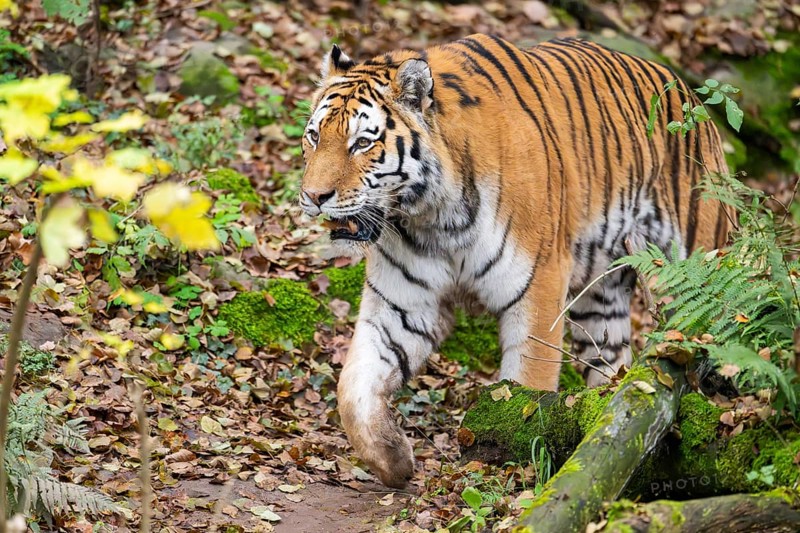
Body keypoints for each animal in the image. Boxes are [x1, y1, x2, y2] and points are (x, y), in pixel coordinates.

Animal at [299, 34, 731, 488]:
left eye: (362, 143)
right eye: (313, 136)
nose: (312, 196)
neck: (432, 218)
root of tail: (692, 97)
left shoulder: (538, 288)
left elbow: (525, 392)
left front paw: (510, 471)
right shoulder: (402, 304)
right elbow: (353, 389)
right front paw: (393, 458)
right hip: (601, 303)